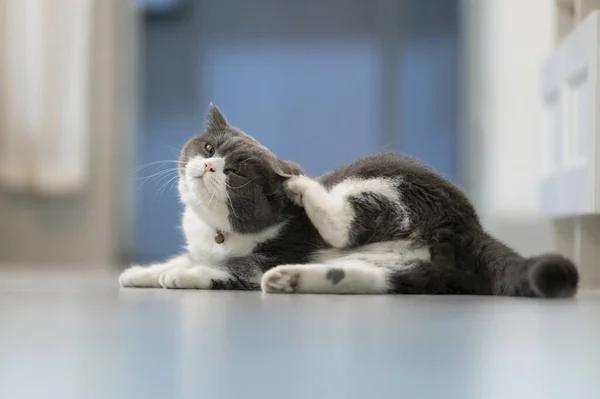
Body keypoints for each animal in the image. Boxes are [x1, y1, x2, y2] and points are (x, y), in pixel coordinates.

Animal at [119, 104, 580, 298]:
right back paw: (291, 280)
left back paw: (303, 189)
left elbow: (228, 270)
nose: (210, 166)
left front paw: (181, 276)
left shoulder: (267, 254)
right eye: (209, 147)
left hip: (386, 181)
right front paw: (141, 273)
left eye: (235, 174)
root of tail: (471, 226)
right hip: (410, 267)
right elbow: (183, 258)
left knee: (347, 223)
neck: (215, 232)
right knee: (373, 279)